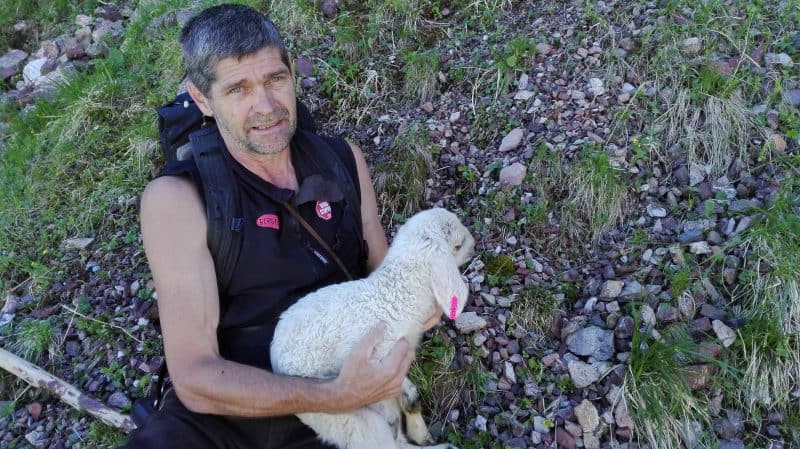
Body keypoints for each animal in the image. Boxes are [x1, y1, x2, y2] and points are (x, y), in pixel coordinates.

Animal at [270, 207, 476, 448]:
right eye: (458, 245)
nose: (475, 245)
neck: (396, 296)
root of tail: (273, 358)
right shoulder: (380, 362)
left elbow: (410, 398)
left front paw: (420, 432)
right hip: (337, 414)